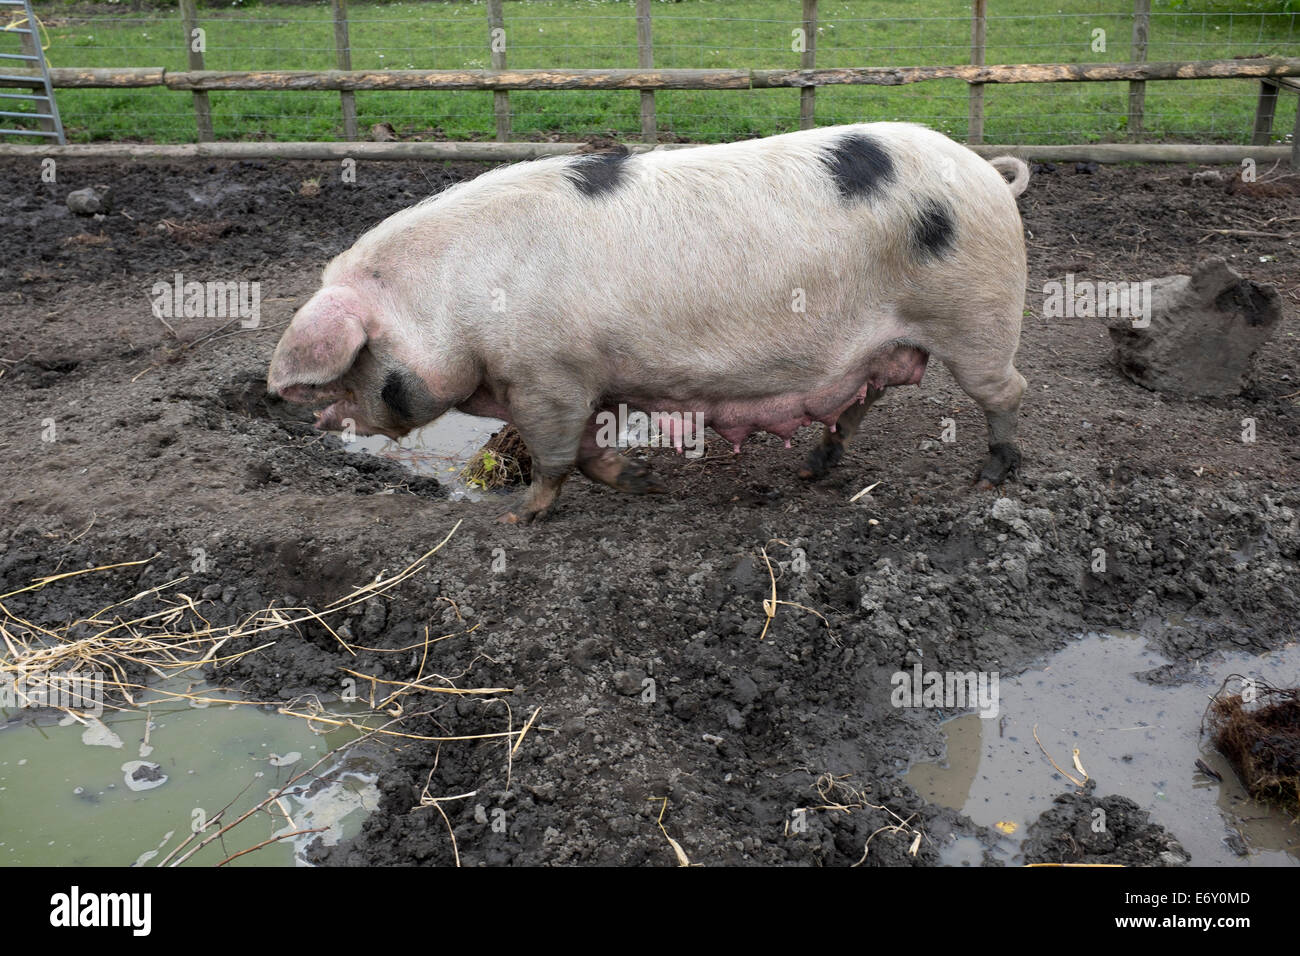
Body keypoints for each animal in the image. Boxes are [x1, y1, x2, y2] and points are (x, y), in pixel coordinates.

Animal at [269, 121, 1029, 522]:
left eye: (357, 363)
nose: (314, 415)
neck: (453, 298)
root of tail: (987, 171)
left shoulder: (546, 377)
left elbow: (554, 453)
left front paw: (520, 515)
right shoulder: (579, 379)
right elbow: (583, 450)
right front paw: (645, 482)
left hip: (978, 316)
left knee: (1006, 392)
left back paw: (990, 479)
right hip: (876, 346)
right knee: (858, 403)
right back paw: (812, 471)